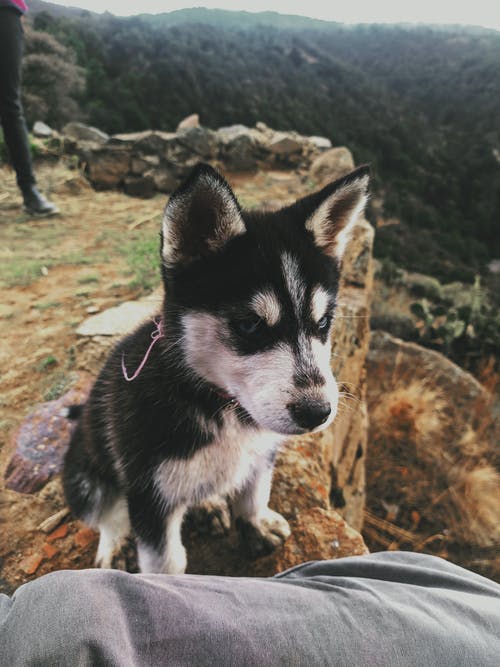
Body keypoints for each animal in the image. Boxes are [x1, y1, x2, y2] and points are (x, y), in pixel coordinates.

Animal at [62, 164, 370, 576]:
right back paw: (115, 544)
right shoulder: (149, 495)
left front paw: (256, 523)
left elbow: (254, 493)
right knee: (105, 514)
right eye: (249, 325)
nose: (317, 413)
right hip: (85, 473)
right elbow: (165, 563)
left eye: (323, 323)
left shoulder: (260, 453)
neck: (221, 407)